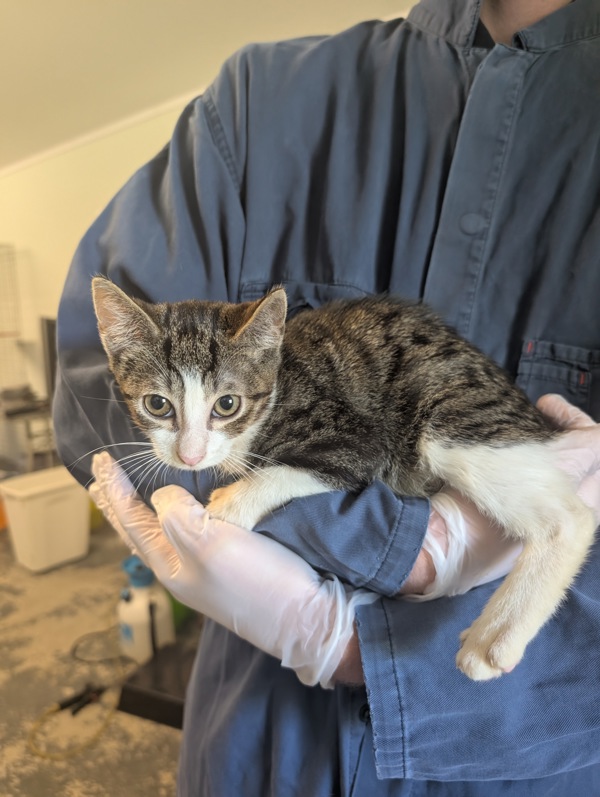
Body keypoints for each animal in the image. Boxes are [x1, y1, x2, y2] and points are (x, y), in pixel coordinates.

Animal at [91, 276, 596, 681]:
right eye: (157, 405)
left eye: (227, 405)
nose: (190, 454)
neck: (279, 381)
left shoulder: (358, 441)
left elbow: (298, 468)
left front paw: (234, 501)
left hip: (450, 415)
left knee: (570, 519)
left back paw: (496, 636)